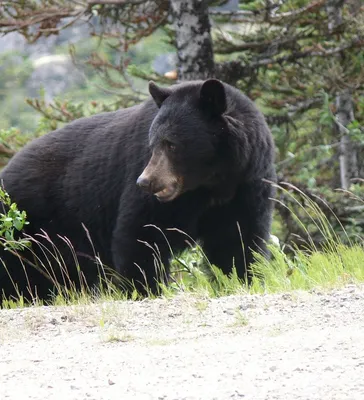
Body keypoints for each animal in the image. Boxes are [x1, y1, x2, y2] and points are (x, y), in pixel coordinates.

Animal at [0, 79, 274, 302]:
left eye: (172, 144)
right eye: (153, 144)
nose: (145, 181)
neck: (211, 184)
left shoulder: (246, 184)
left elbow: (237, 239)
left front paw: (240, 279)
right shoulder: (155, 193)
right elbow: (142, 233)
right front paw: (144, 288)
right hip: (26, 227)